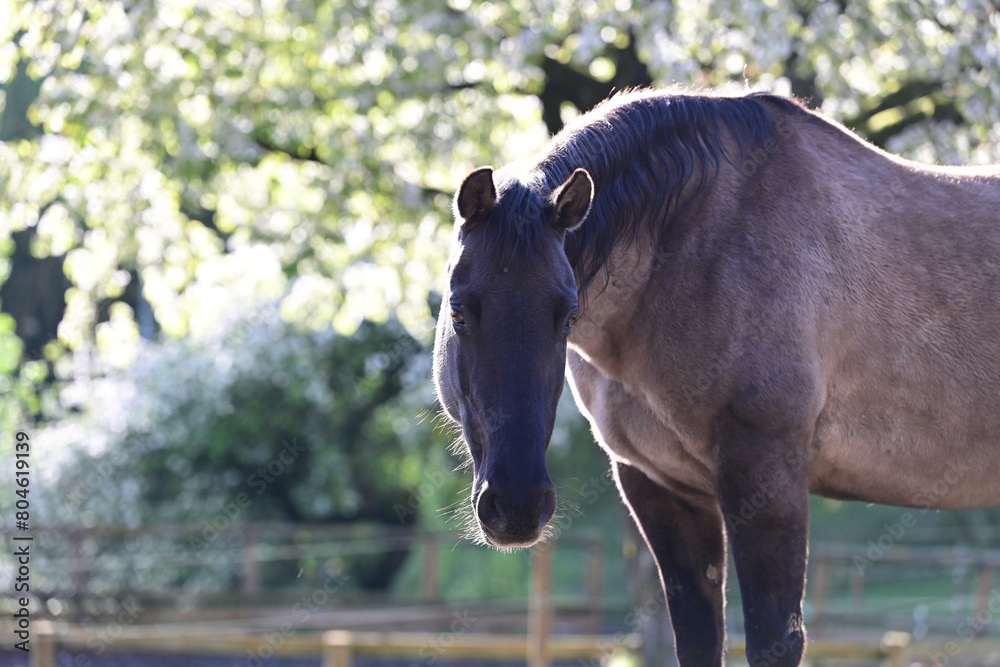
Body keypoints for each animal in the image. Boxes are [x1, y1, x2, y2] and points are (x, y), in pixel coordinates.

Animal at [431, 88, 1000, 666]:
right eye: (459, 311)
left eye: (568, 316)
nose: (518, 506)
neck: (693, 247)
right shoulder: (659, 485)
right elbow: (699, 635)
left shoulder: (767, 472)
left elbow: (774, 637)